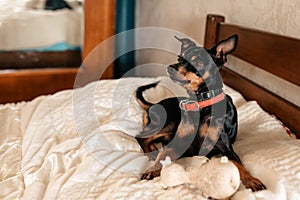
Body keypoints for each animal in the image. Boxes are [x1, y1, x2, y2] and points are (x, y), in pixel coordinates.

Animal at [135, 34, 266, 191]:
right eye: (179, 58)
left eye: (198, 62)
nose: (170, 68)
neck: (201, 104)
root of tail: (153, 105)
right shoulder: (179, 144)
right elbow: (163, 154)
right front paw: (152, 169)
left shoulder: (226, 149)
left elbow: (239, 165)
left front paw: (252, 180)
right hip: (167, 123)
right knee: (141, 137)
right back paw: (152, 152)